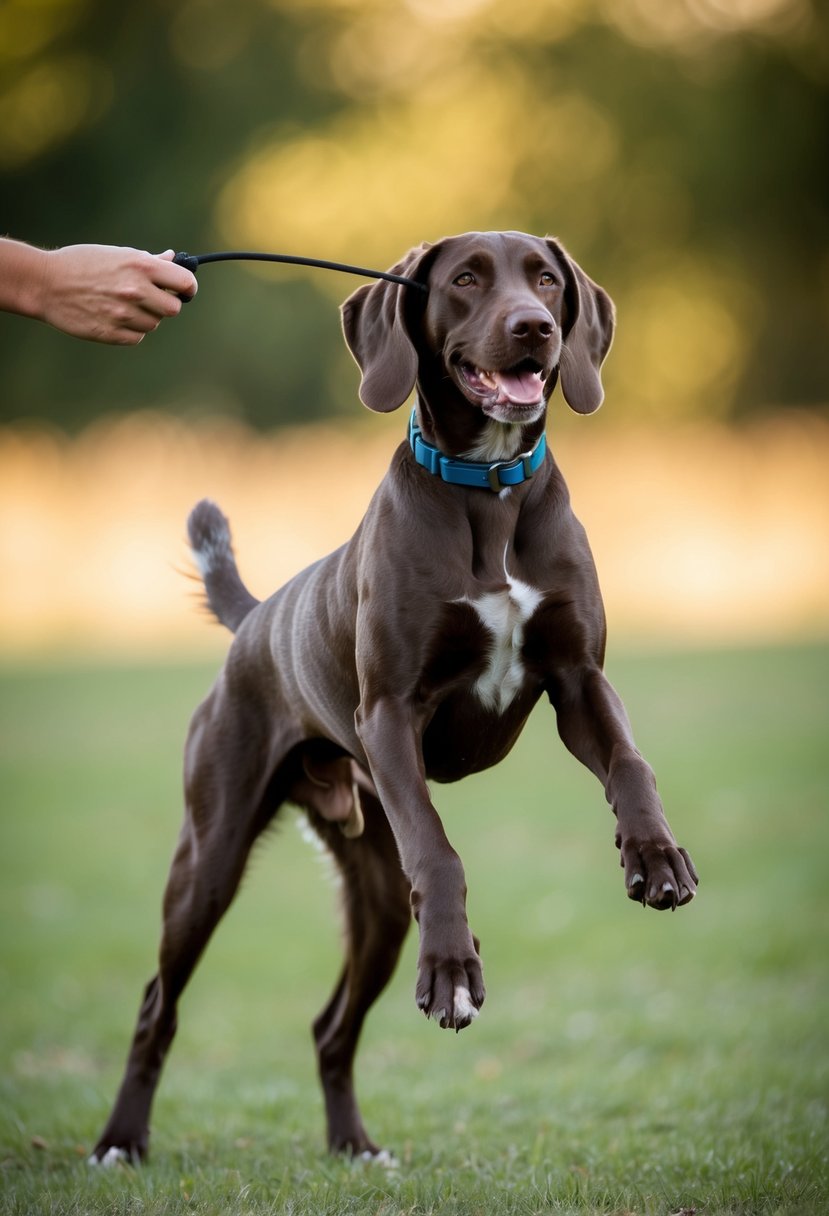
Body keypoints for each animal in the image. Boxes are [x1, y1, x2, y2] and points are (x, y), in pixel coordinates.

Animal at [88, 229, 695, 1167]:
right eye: (467, 279)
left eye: (545, 278)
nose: (532, 327)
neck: (489, 486)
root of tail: (255, 618)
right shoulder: (391, 716)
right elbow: (439, 851)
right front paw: (451, 972)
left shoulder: (579, 682)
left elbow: (630, 764)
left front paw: (654, 857)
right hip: (209, 859)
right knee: (160, 1003)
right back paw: (121, 1141)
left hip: (373, 891)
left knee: (329, 1027)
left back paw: (354, 1146)